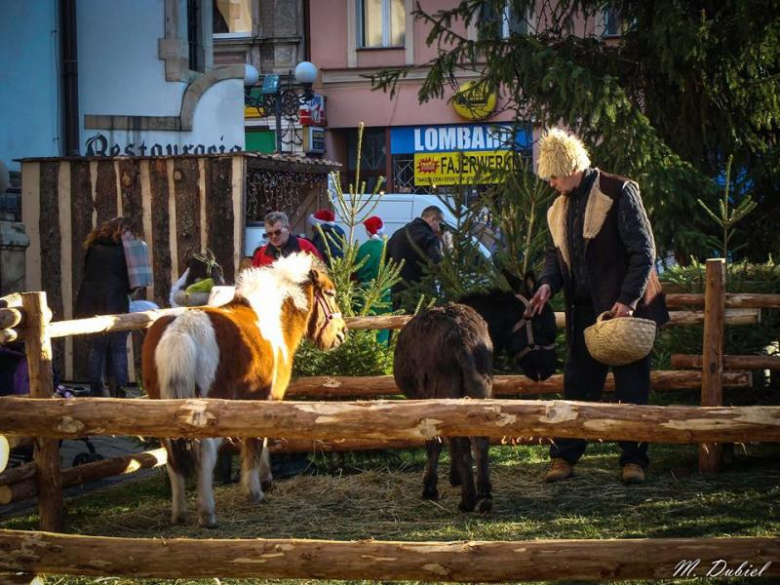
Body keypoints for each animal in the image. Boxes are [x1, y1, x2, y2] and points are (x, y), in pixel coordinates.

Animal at [141, 253, 348, 528]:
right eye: (330, 293)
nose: (342, 333)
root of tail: (183, 328)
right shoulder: (268, 399)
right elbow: (257, 444)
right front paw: (256, 489)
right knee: (205, 455)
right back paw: (207, 513)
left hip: (165, 411)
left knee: (174, 459)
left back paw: (180, 513)